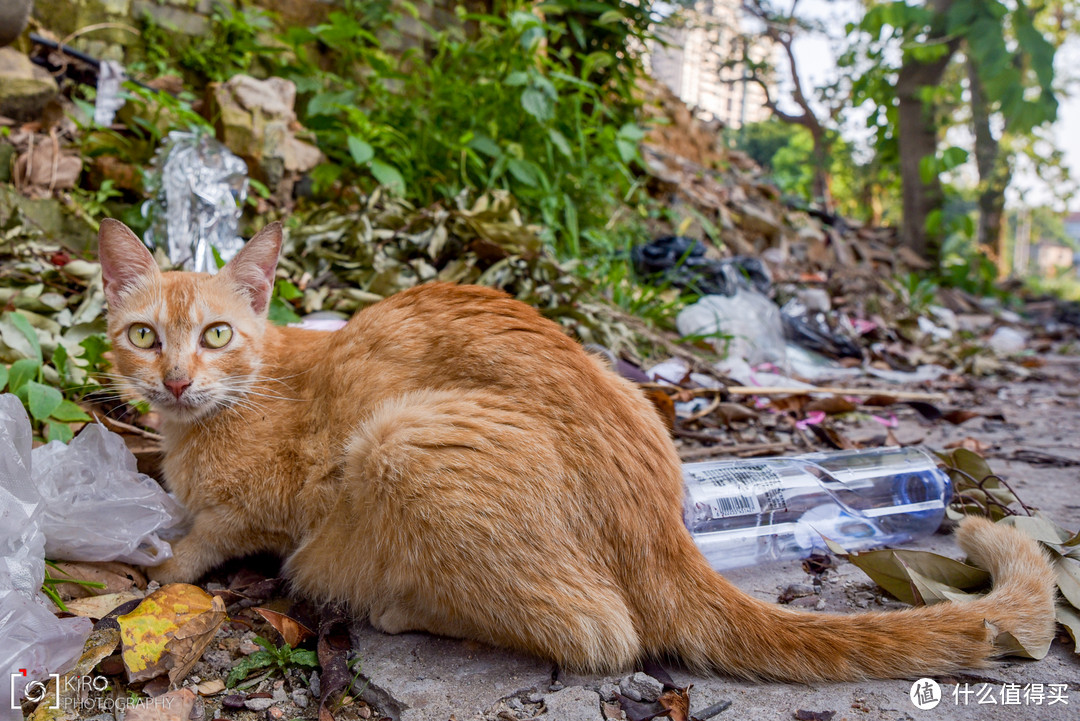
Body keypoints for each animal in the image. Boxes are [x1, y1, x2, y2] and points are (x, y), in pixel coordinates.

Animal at [97, 220, 1058, 682]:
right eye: (144, 336)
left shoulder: (255, 509)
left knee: (602, 633)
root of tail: (668, 531)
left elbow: (199, 543)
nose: (175, 379)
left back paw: (390, 604)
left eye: (217, 334)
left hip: (403, 443)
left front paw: (148, 566)